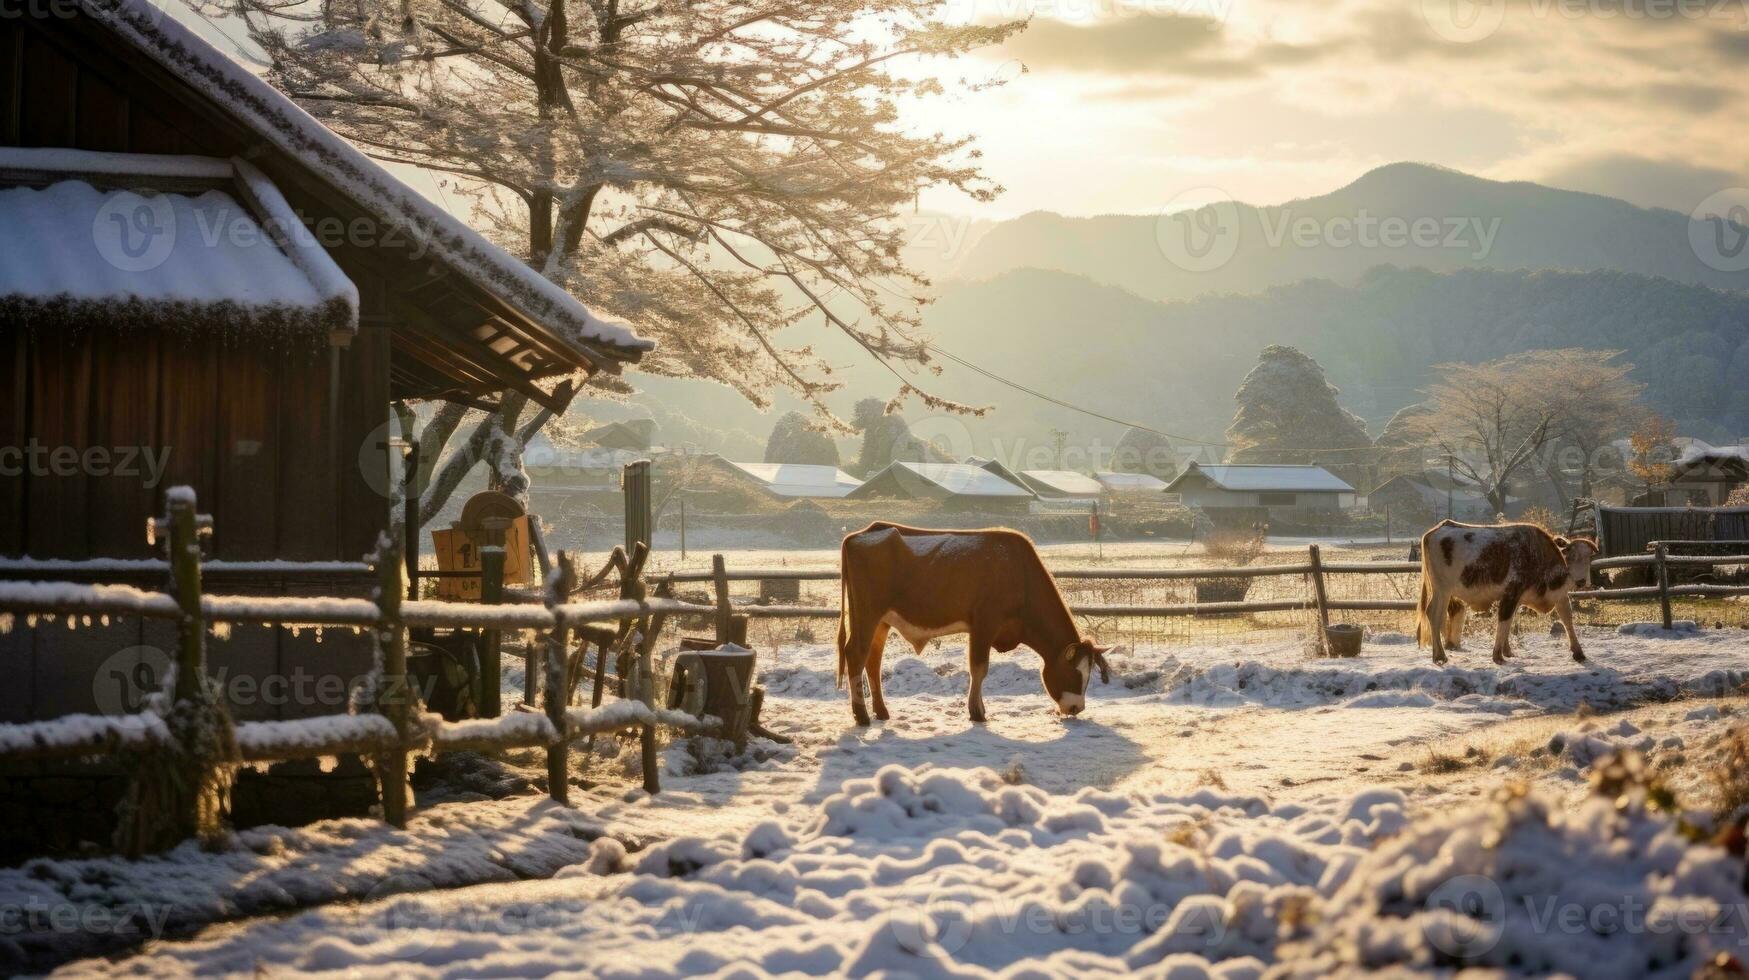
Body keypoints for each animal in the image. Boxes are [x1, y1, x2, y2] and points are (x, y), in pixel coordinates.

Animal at [832, 525, 1105, 724]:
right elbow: (979, 668)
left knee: (873, 660)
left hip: (881, 620)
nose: (1076, 707)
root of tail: (861, 534)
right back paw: (862, 716)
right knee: (856, 654)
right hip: (867, 613)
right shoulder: (985, 622)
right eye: (1074, 672)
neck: (1020, 574)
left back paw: (881, 711)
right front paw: (977, 712)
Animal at [1420, 521, 1602, 665]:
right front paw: (1498, 656)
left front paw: (1578, 652)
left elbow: (1567, 619)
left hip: (1441, 591)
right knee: (1435, 616)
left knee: (1433, 614)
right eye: (1570, 554)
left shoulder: (1557, 595)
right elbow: (1504, 620)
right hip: (1442, 590)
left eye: (1589, 558)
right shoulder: (1511, 593)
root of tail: (1438, 529)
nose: (1581, 581)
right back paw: (1440, 656)